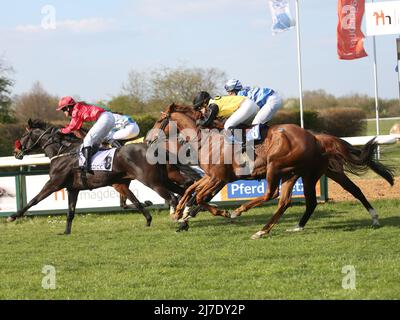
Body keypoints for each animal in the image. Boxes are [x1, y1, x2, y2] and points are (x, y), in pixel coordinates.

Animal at [7, 119, 186, 234]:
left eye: (23, 135)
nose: (16, 152)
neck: (63, 152)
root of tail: (153, 148)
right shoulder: (73, 189)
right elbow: (70, 212)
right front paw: (66, 232)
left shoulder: (53, 184)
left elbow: (33, 200)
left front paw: (12, 216)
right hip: (163, 179)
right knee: (183, 192)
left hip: (153, 181)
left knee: (173, 198)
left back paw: (178, 220)